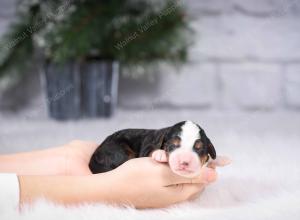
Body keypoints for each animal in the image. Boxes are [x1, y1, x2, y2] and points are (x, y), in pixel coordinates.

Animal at [88, 120, 216, 177]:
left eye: (199, 148)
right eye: (173, 145)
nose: (184, 162)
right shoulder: (148, 147)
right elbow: (152, 151)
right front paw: (160, 154)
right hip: (117, 151)